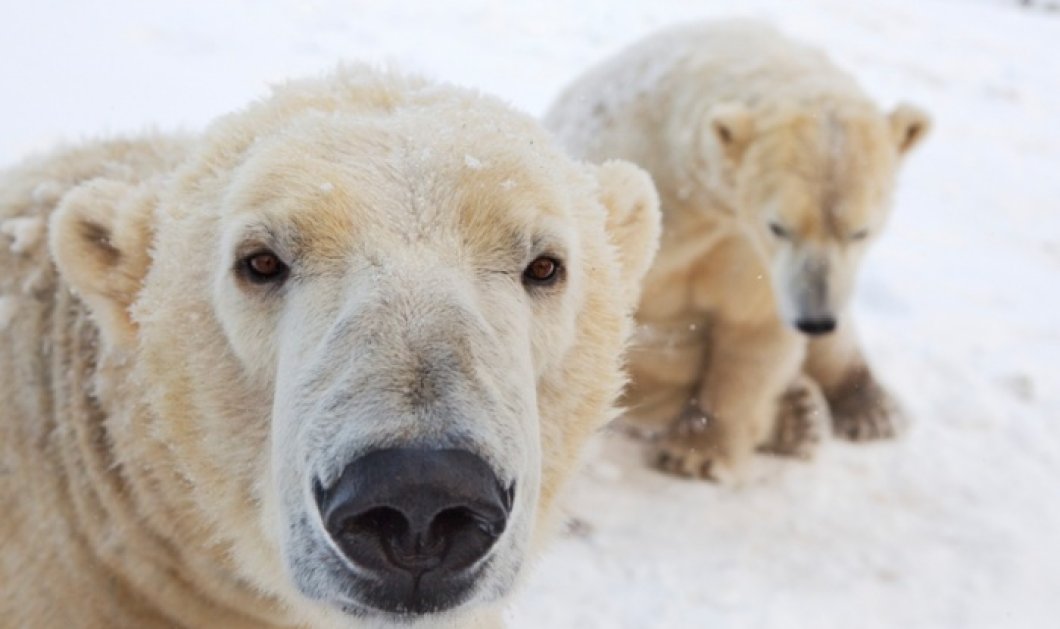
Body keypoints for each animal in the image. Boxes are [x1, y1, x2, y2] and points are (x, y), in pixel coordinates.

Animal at [546, 20, 928, 481]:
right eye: (778, 225)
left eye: (860, 231)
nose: (815, 318)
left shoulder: (748, 254)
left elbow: (752, 329)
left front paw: (698, 453)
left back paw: (867, 411)